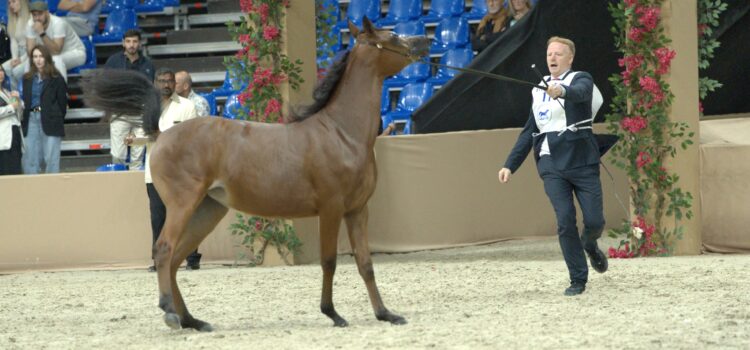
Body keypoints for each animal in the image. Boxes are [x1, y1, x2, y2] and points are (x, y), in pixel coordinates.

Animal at [82, 17, 432, 332]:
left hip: (208, 210)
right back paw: (170, 312)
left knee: (177, 259)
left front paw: (386, 314)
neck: (340, 132)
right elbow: (329, 261)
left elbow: (365, 263)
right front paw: (333, 314)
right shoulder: (331, 209)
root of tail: (162, 133)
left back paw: (192, 321)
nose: (425, 42)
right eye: (392, 37)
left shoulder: (358, 210)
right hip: (183, 205)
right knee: (164, 250)